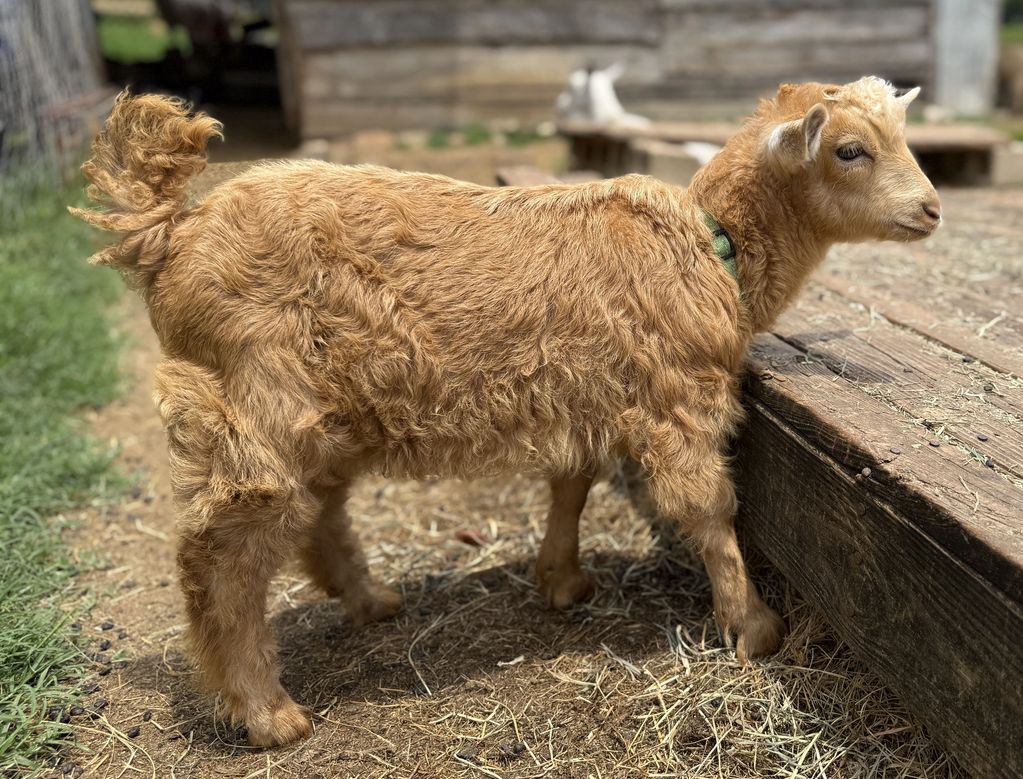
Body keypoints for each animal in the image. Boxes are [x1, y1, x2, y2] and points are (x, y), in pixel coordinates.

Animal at [72, 77, 940, 747]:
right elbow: (709, 510)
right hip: (252, 401)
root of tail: (171, 231)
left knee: (317, 511)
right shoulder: (675, 400)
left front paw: (560, 580)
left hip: (323, 412)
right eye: (849, 150)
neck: (707, 242)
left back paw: (370, 601)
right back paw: (267, 712)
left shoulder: (589, 389)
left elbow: (571, 483)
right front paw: (753, 627)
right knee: (221, 553)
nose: (932, 209)